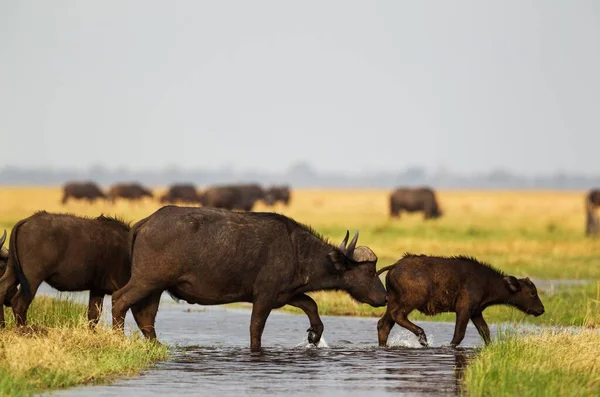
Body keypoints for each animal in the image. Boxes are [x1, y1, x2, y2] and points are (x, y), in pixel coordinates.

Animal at [0, 212, 131, 326]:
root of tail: (26, 221)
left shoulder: (97, 290)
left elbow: (93, 316)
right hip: (31, 280)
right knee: (19, 303)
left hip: (13, 271)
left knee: (3, 289)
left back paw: (3, 325)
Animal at [110, 206, 386, 352]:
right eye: (370, 272)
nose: (384, 297)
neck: (297, 250)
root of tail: (145, 222)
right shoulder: (264, 298)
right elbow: (256, 327)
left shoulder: (285, 295)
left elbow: (311, 305)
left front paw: (314, 335)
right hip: (146, 281)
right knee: (119, 300)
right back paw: (117, 337)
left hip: (155, 287)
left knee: (145, 315)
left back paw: (157, 345)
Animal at [378, 254, 548, 346]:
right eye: (532, 293)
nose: (541, 309)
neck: (486, 282)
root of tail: (394, 266)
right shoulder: (464, 310)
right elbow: (458, 335)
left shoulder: (476, 312)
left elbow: (485, 332)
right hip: (411, 301)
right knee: (397, 316)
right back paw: (423, 337)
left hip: (393, 302)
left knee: (384, 323)